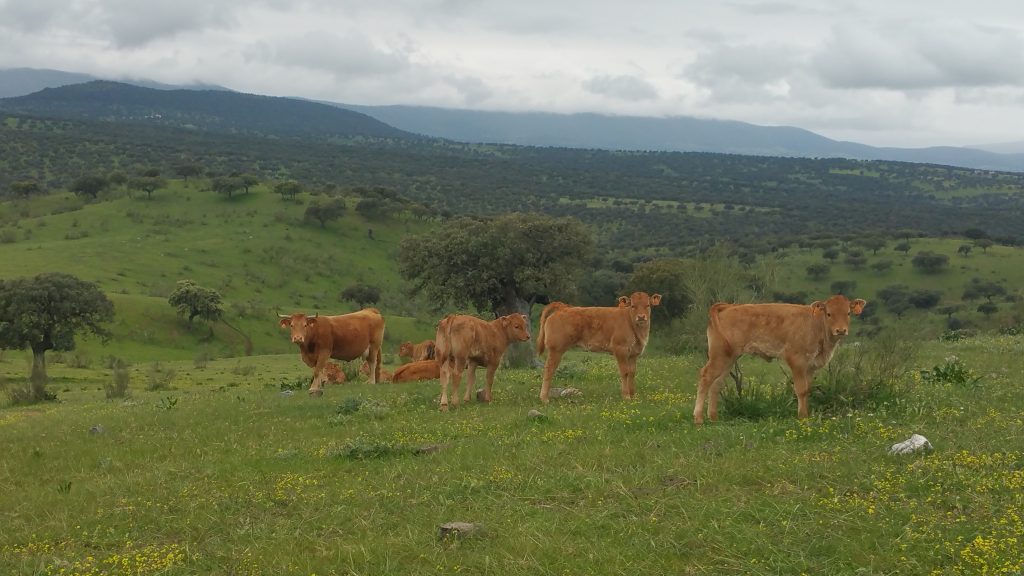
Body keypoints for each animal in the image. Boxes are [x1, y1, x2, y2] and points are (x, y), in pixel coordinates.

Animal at [696, 291, 864, 422]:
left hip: (729, 358)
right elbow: (801, 389)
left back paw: (713, 418)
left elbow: (807, 389)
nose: (840, 330)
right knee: (705, 377)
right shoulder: (796, 360)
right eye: (829, 314)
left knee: (716, 384)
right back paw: (698, 419)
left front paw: (806, 415)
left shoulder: (810, 365)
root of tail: (728, 307)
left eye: (848, 313)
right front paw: (802, 416)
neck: (815, 325)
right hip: (719, 356)